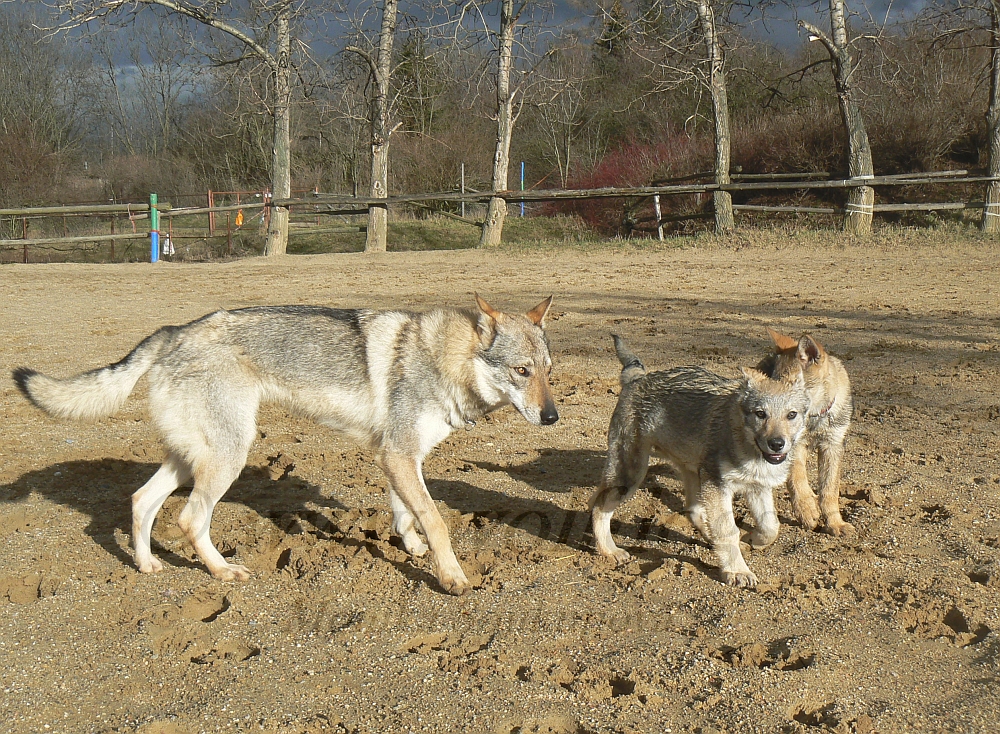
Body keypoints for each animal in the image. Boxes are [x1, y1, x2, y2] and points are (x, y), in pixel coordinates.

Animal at [15, 296, 560, 596]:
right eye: (521, 371)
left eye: (548, 372)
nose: (554, 417)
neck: (446, 361)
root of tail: (173, 332)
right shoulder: (398, 455)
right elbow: (436, 519)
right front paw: (450, 576)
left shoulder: (398, 457)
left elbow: (407, 514)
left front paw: (413, 547)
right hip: (227, 458)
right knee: (189, 519)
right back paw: (222, 571)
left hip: (191, 461)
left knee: (140, 501)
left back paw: (147, 564)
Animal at [588, 336, 808, 588]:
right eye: (761, 414)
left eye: (791, 415)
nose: (777, 444)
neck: (748, 448)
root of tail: (637, 377)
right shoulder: (718, 486)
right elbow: (728, 531)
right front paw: (737, 570)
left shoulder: (757, 487)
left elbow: (771, 526)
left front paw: (754, 540)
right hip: (631, 476)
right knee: (598, 506)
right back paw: (610, 551)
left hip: (690, 472)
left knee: (692, 511)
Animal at [760, 330, 856, 536]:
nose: (767, 411)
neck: (814, 418)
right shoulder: (793, 447)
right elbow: (797, 481)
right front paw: (806, 511)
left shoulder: (832, 446)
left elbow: (829, 491)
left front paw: (835, 523)